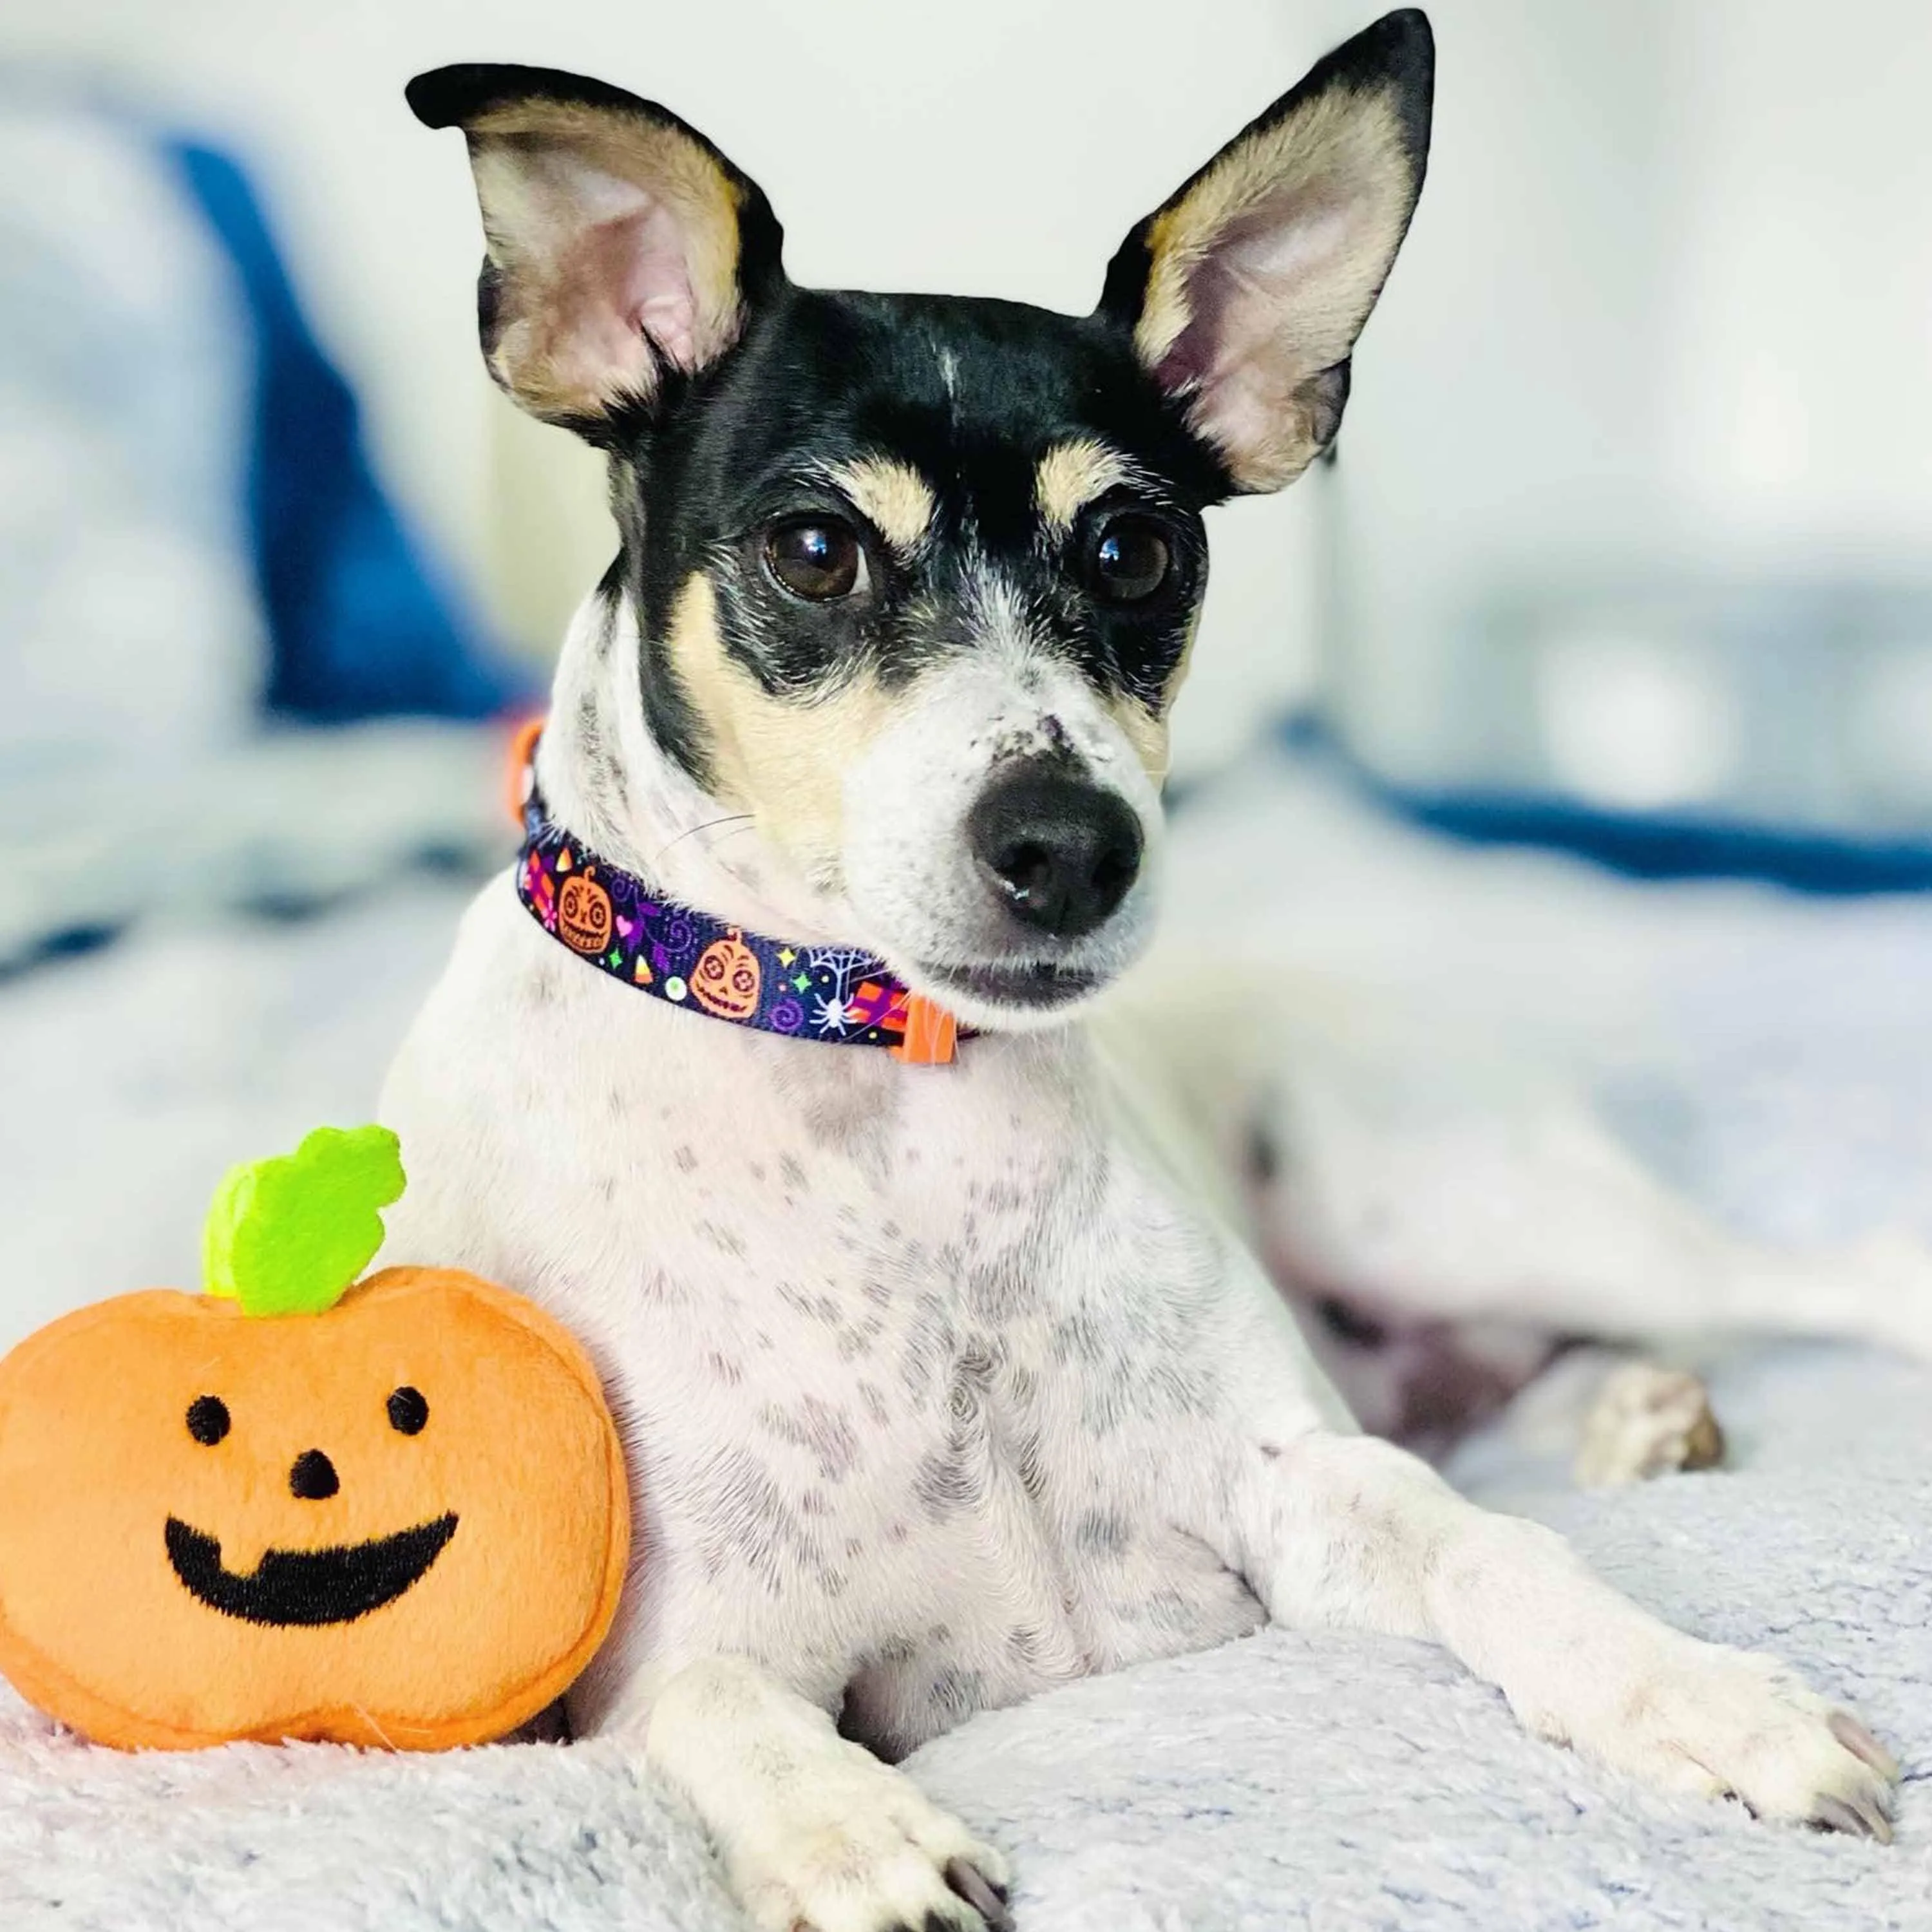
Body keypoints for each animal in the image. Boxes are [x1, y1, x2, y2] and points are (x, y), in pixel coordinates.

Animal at [381, 19, 1901, 1932]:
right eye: (814, 551)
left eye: (1134, 550)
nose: (1070, 844)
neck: (895, 1118)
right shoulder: (685, 1645)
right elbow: (718, 1714)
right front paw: (855, 1839)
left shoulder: (1300, 1494)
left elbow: (1503, 1555)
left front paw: (1698, 1696)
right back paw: (1632, 1417)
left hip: (1452, 1208)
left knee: (1804, 1288)